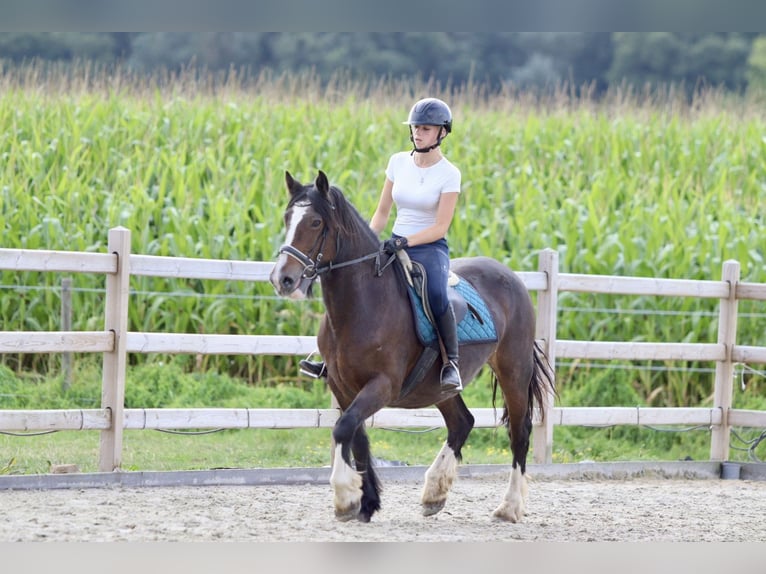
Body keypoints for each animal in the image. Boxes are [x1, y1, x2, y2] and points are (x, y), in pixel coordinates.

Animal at [272, 169, 560, 524]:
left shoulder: (382, 385)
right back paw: (434, 492)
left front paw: (346, 498)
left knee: (520, 432)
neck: (363, 304)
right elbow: (355, 436)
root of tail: (511, 276)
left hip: (513, 370)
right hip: (439, 387)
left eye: (315, 222)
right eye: (287, 218)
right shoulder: (342, 386)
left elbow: (342, 430)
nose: (282, 279)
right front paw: (365, 502)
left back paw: (509, 508)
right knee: (462, 422)